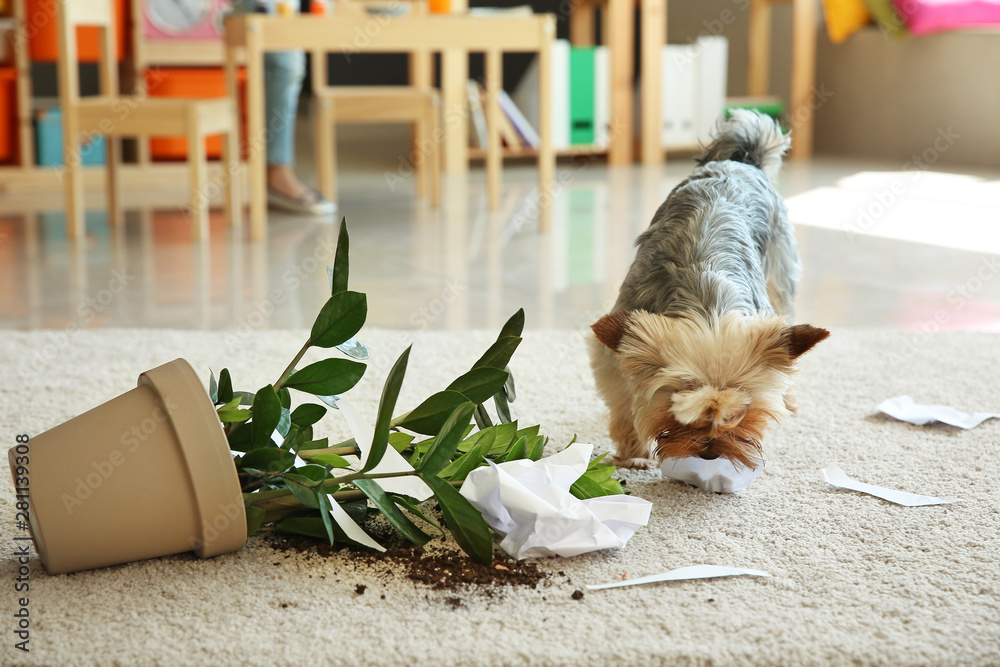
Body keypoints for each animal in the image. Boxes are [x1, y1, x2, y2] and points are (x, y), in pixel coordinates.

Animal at [584, 111, 828, 470]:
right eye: (678, 414)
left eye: (742, 413)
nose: (710, 452)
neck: (707, 300)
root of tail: (741, 161)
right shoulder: (616, 344)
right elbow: (623, 399)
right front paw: (633, 451)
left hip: (780, 281)